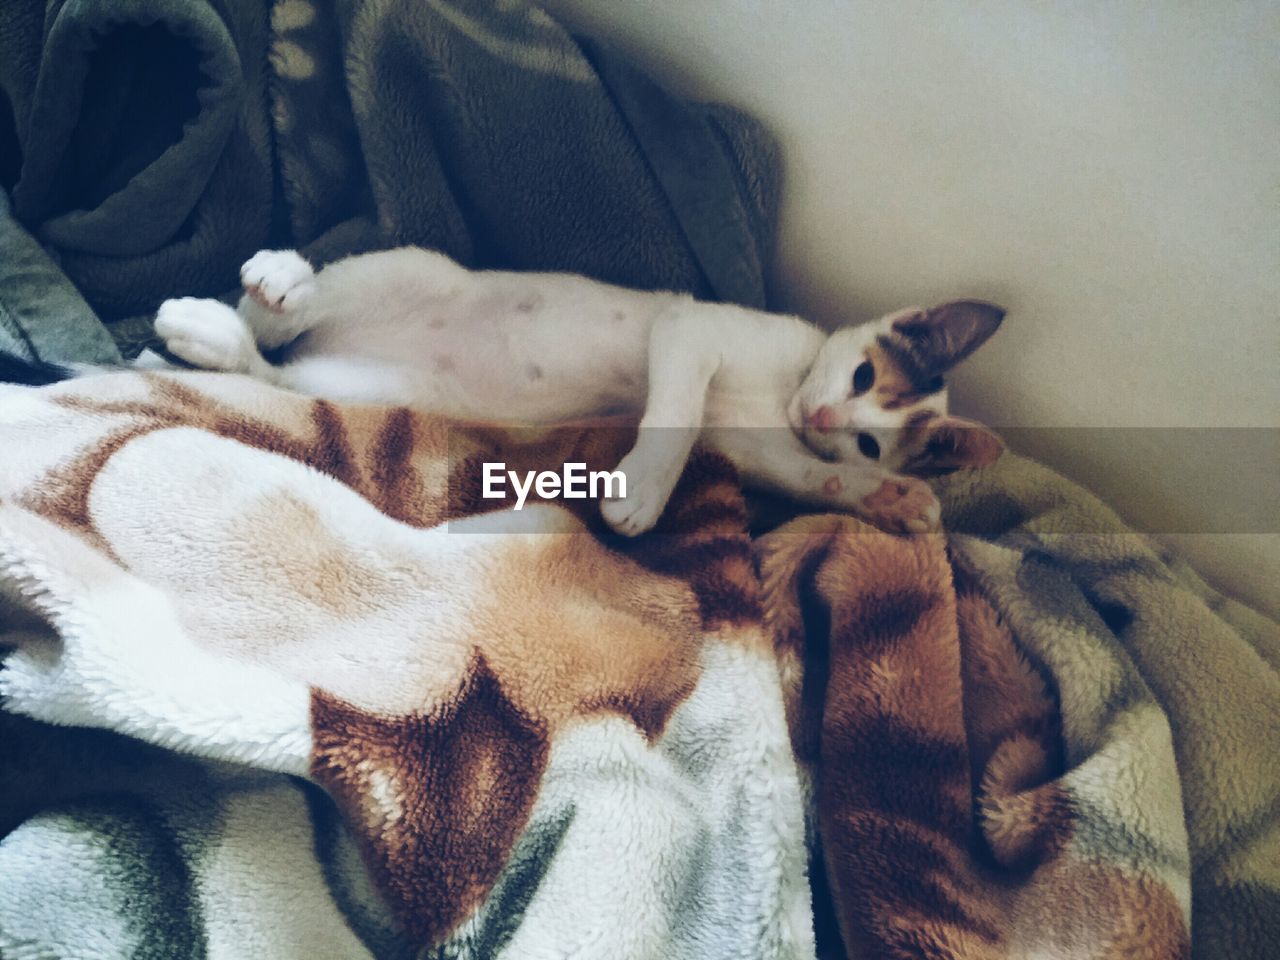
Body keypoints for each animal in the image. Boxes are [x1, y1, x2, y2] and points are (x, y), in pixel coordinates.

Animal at [152, 248, 1008, 537]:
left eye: (867, 436)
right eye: (861, 373)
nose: (822, 413)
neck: (787, 389)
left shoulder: (753, 444)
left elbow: (810, 476)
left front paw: (892, 497)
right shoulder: (693, 329)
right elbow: (677, 411)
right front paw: (643, 492)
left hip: (371, 389)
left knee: (269, 371)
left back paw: (214, 337)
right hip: (410, 270)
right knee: (288, 306)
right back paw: (276, 280)